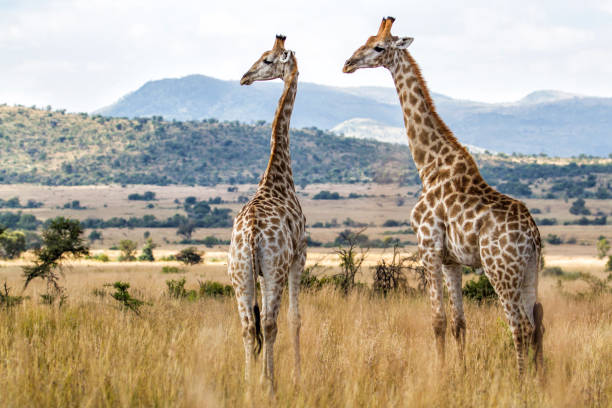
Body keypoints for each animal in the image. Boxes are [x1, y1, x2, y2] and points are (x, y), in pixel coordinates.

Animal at [342, 17, 544, 374]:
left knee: (518, 325)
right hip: (530, 270)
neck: (429, 165)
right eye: (365, 40)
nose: (348, 63)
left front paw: (439, 374)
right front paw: (459, 372)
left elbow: (437, 320)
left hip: (501, 269)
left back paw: (521, 380)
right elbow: (459, 323)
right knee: (534, 325)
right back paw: (537, 379)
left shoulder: (428, 248)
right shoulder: (452, 260)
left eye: (378, 47)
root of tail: (532, 235)